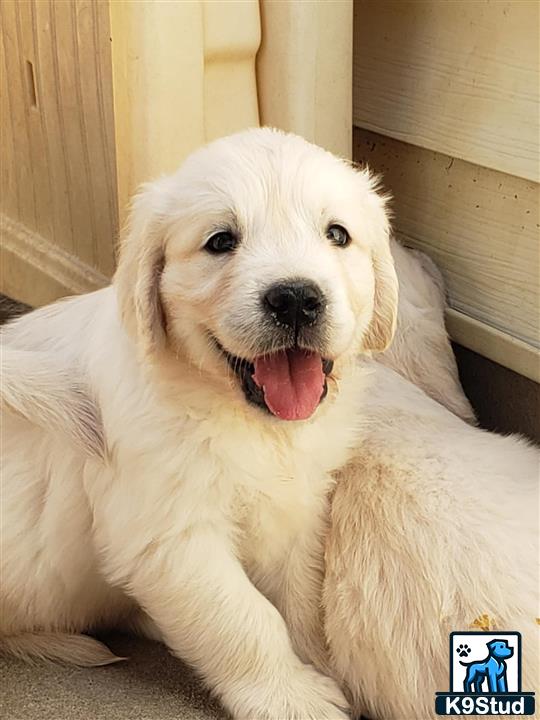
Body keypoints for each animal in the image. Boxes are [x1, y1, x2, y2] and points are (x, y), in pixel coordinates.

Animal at [0, 129, 398, 720]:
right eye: (220, 241)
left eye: (337, 235)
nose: (296, 299)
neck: (250, 422)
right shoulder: (171, 537)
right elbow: (243, 618)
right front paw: (290, 695)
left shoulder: (297, 513)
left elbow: (299, 601)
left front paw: (315, 664)